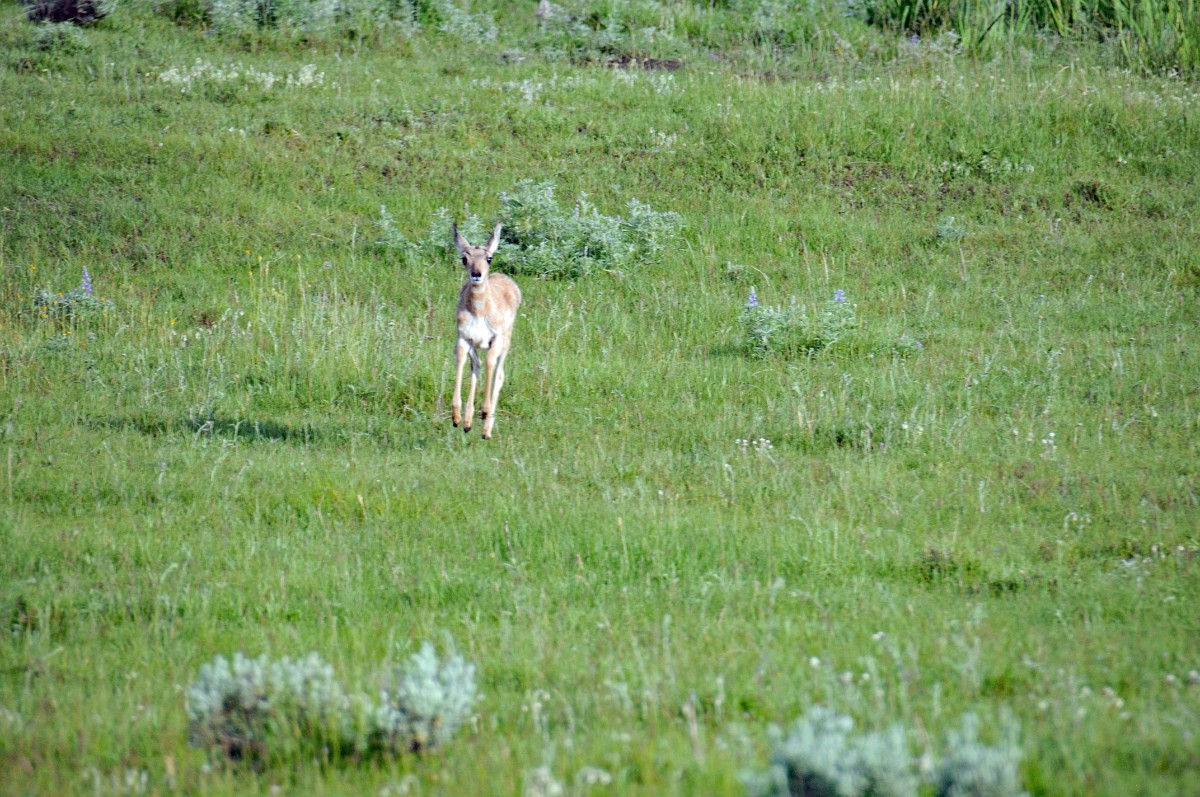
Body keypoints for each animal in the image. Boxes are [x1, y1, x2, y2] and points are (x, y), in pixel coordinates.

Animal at [451, 222, 522, 440]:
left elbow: (491, 364)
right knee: (476, 366)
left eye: (489, 258)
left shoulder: (495, 339)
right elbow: (463, 361)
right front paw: (457, 418)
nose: (476, 274)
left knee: (499, 374)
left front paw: (485, 412)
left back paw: (486, 430)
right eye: (464, 258)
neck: (479, 311)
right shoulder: (464, 338)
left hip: (505, 344)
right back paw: (467, 423)